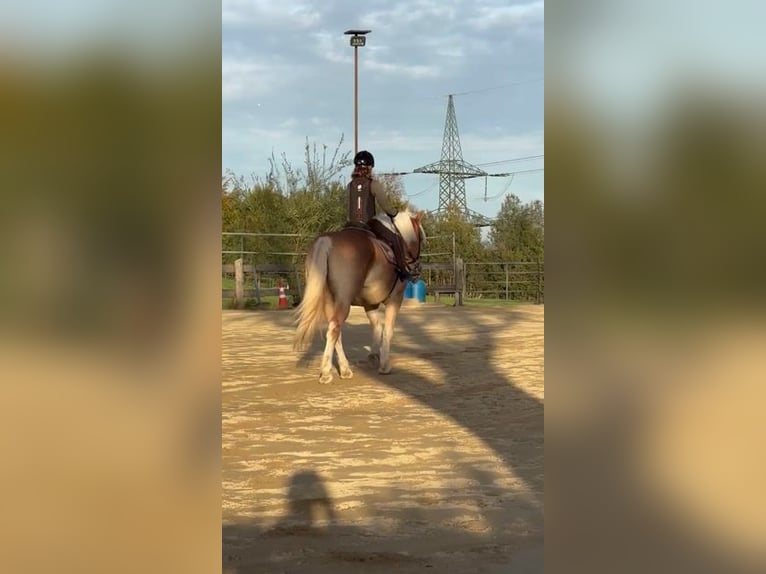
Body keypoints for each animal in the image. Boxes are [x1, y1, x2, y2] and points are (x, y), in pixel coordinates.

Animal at [292, 209, 426, 384]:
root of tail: (327, 241)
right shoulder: (395, 299)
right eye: (421, 238)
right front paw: (384, 365)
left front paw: (373, 357)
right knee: (334, 329)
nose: (417, 268)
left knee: (336, 331)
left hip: (330, 302)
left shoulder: (370, 305)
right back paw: (326, 372)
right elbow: (387, 330)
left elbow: (377, 327)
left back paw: (345, 369)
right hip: (343, 301)